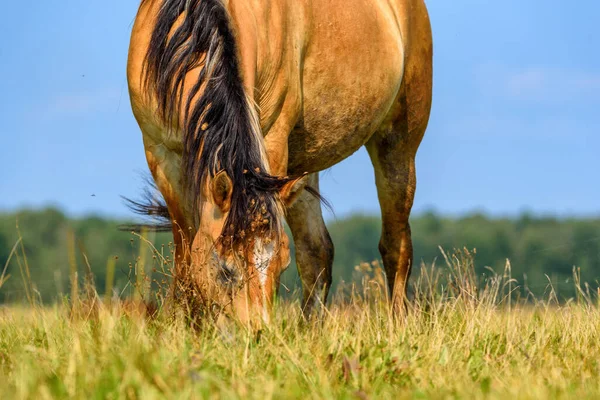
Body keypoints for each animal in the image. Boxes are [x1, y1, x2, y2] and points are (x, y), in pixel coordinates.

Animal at [127, 0, 432, 324]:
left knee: (395, 246)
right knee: (317, 252)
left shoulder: (272, 138)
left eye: (282, 264)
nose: (258, 330)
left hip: (397, 148)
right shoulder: (161, 154)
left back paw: (397, 323)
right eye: (224, 268)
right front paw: (187, 321)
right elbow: (185, 245)